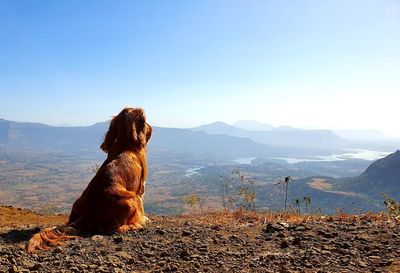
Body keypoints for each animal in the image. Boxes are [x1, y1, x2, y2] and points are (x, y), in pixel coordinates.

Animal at [26, 107, 152, 252]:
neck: (125, 144)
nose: (151, 128)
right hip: (132, 199)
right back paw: (135, 225)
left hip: (77, 202)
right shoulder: (141, 189)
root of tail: (86, 216)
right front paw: (144, 219)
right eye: (145, 121)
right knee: (115, 228)